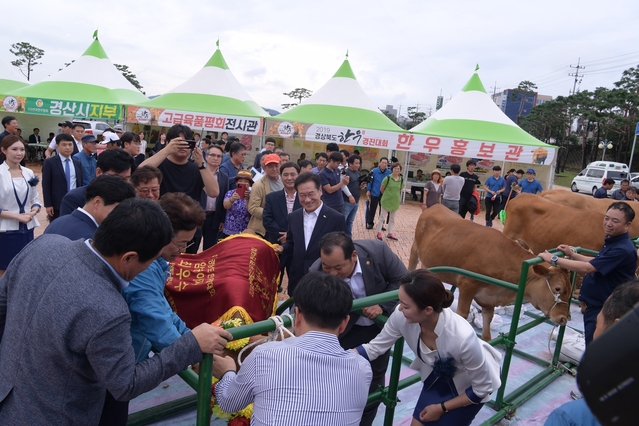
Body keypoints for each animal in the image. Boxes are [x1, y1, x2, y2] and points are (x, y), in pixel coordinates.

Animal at [412, 205, 572, 342]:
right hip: (414, 251)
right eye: (558, 288)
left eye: (570, 290)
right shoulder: (467, 285)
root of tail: (435, 206)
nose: (564, 318)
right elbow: (462, 315)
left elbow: (487, 326)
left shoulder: (488, 298)